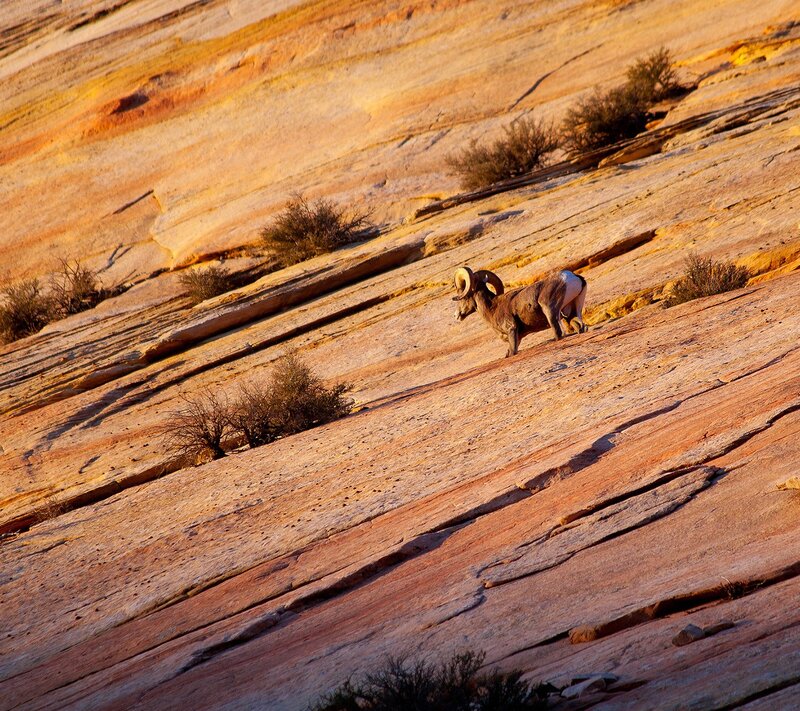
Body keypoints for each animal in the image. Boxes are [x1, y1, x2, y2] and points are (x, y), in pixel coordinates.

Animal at [452, 266, 588, 357]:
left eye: (463, 294)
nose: (456, 315)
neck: (492, 308)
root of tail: (572, 277)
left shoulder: (512, 330)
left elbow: (513, 352)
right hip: (572, 312)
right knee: (580, 326)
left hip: (550, 311)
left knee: (558, 332)